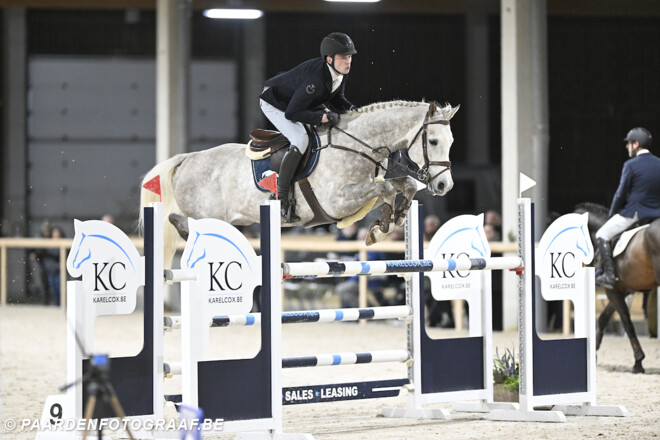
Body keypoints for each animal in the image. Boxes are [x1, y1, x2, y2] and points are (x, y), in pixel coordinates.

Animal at [572, 202, 660, 372]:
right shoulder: (620, 290)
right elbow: (603, 318)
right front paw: (593, 356)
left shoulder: (612, 290)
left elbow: (627, 322)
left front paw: (638, 361)